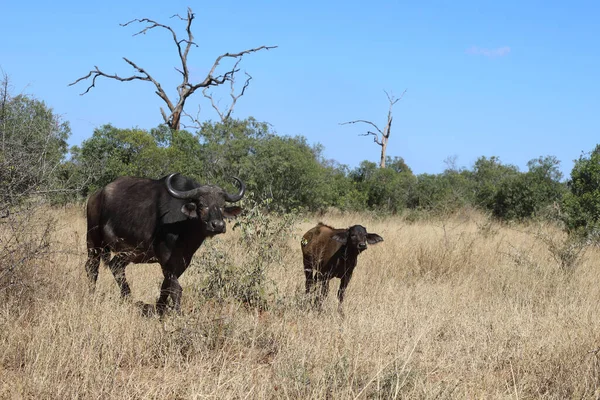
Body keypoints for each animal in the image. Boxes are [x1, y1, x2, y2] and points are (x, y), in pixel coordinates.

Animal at [84, 173, 244, 314]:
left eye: (222, 205)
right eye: (202, 205)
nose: (217, 225)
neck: (184, 228)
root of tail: (96, 196)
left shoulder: (183, 260)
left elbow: (166, 286)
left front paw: (160, 309)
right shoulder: (166, 259)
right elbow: (175, 288)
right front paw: (177, 314)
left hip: (129, 252)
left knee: (116, 266)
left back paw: (128, 298)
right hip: (93, 241)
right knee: (92, 267)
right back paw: (91, 295)